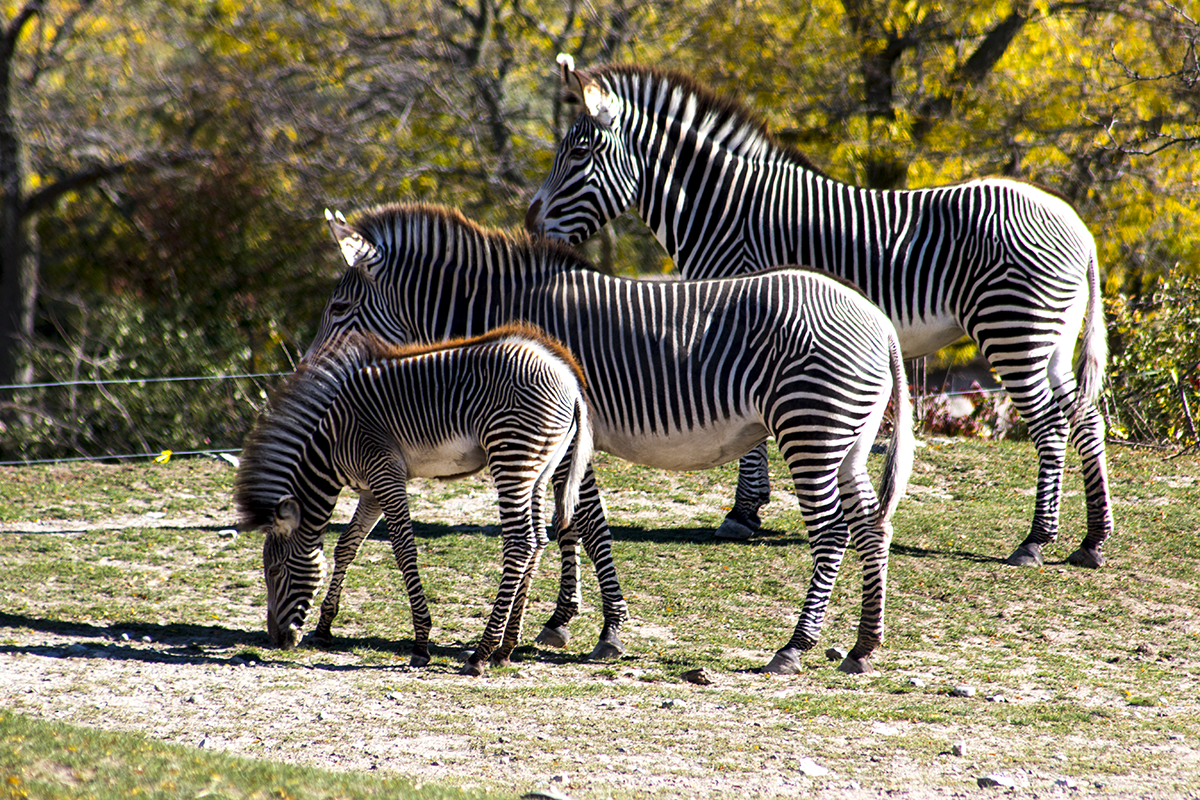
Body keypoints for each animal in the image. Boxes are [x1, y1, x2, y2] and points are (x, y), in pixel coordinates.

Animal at [231, 321, 592, 671]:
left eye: (275, 571)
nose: (277, 640)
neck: (330, 445)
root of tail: (571, 382)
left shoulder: (384, 473)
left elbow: (404, 551)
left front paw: (421, 643)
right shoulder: (371, 488)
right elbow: (346, 545)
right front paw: (324, 628)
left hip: (511, 455)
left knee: (520, 543)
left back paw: (481, 653)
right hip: (539, 469)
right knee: (538, 541)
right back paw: (505, 649)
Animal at [304, 201, 912, 676]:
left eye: (338, 308)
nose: (310, 374)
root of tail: (879, 320)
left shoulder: (574, 434)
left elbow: (585, 521)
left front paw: (605, 629)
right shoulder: (562, 440)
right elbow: (568, 521)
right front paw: (560, 619)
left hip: (811, 425)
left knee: (832, 531)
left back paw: (795, 646)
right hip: (848, 439)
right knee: (872, 524)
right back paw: (863, 646)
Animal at [528, 54, 1113, 568]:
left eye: (577, 155)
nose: (531, 228)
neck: (725, 210)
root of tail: (1080, 227)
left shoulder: (739, 305)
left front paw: (742, 513)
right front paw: (750, 509)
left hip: (1013, 328)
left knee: (1050, 423)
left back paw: (1035, 541)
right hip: (1051, 336)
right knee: (1085, 414)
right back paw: (1092, 541)